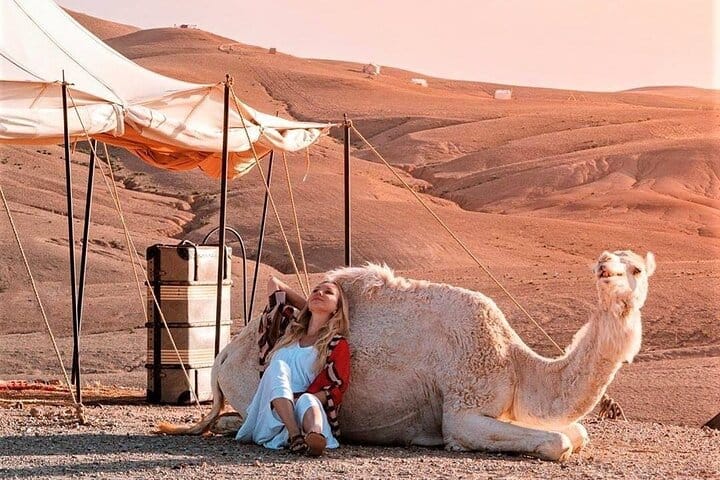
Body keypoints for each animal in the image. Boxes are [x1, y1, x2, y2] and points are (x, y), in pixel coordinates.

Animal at [159, 249, 655, 461]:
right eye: (607, 262)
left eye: (636, 267)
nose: (605, 270)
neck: (515, 365)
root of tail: (224, 356)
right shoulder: (463, 410)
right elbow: (558, 442)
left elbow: (578, 433)